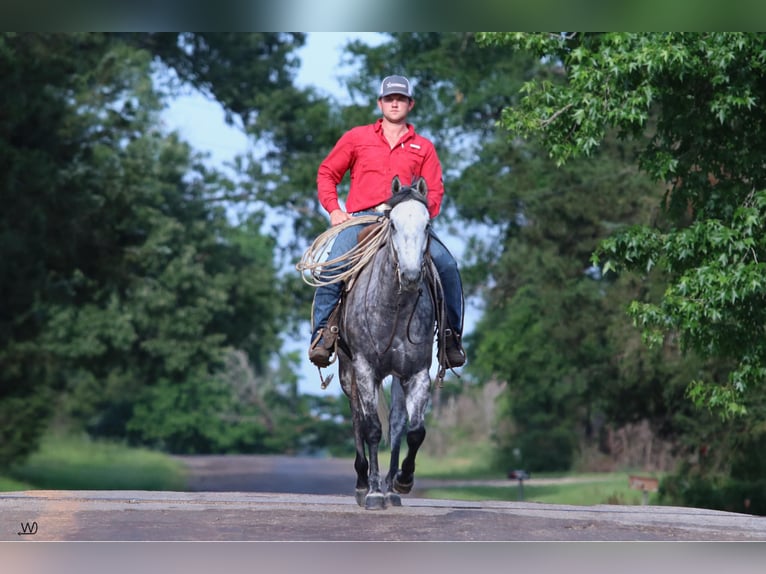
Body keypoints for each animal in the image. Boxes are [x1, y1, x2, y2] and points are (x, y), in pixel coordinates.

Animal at [338, 178, 438, 510]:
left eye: (427, 224)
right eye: (393, 224)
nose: (410, 275)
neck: (395, 307)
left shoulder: (417, 373)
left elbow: (414, 430)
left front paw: (402, 481)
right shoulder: (364, 368)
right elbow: (371, 427)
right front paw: (373, 492)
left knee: (396, 423)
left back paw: (391, 487)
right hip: (348, 371)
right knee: (358, 417)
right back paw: (362, 483)